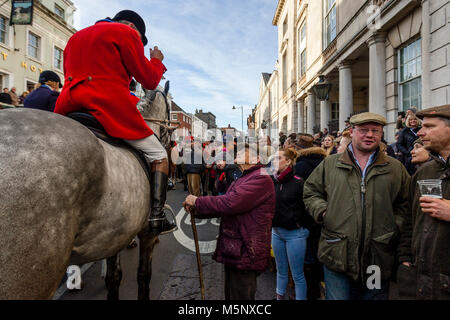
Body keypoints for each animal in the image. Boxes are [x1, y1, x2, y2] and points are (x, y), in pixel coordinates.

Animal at [0, 85, 172, 300]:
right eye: (169, 111)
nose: (170, 141)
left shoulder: (114, 235)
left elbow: (114, 277)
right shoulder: (146, 234)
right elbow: (143, 276)